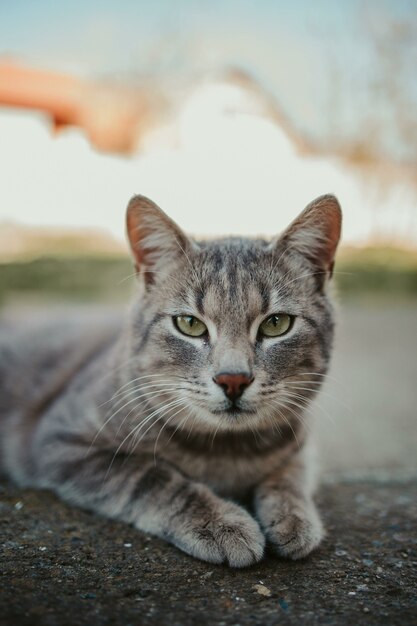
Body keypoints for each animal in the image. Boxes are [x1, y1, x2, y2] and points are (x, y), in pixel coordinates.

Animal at [0, 194, 342, 564]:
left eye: (276, 323)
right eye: (189, 324)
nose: (233, 379)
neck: (228, 452)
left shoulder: (300, 442)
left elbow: (290, 474)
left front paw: (295, 518)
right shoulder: (61, 440)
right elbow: (151, 478)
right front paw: (220, 522)